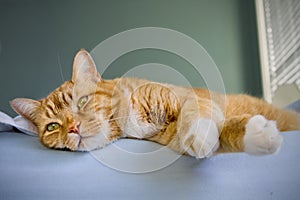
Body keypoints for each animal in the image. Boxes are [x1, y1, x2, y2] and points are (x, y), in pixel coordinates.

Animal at [9, 49, 300, 158]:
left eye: (82, 101)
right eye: (52, 126)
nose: (73, 128)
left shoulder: (190, 100)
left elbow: (196, 116)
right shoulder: (170, 137)